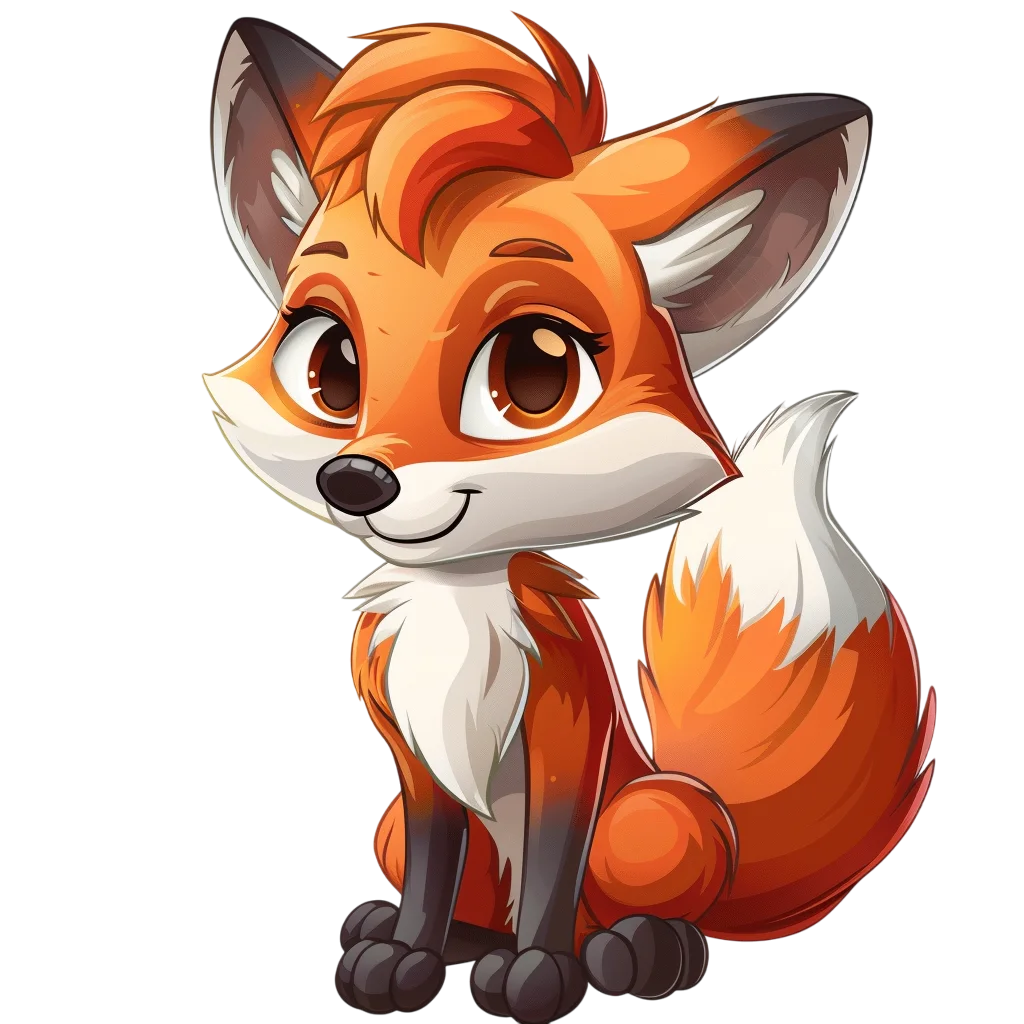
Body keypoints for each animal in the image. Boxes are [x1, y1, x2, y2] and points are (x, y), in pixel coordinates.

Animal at [202, 14, 935, 1022]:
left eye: (536, 370)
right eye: (332, 365)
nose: (356, 478)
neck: (460, 611)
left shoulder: (565, 741)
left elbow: (550, 870)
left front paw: (538, 975)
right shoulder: (417, 773)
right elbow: (430, 878)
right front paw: (405, 957)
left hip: (654, 819)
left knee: (636, 914)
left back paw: (637, 952)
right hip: (388, 828)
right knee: (458, 897)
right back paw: (439, 939)